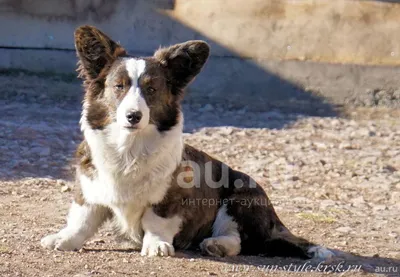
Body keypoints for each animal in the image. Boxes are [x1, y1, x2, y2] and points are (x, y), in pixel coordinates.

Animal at [40, 25, 334, 258]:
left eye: (152, 89)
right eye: (119, 86)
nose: (133, 116)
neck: (130, 146)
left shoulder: (170, 198)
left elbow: (156, 221)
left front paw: (156, 246)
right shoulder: (91, 188)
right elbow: (82, 218)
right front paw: (63, 239)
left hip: (240, 195)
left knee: (237, 238)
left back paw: (216, 245)